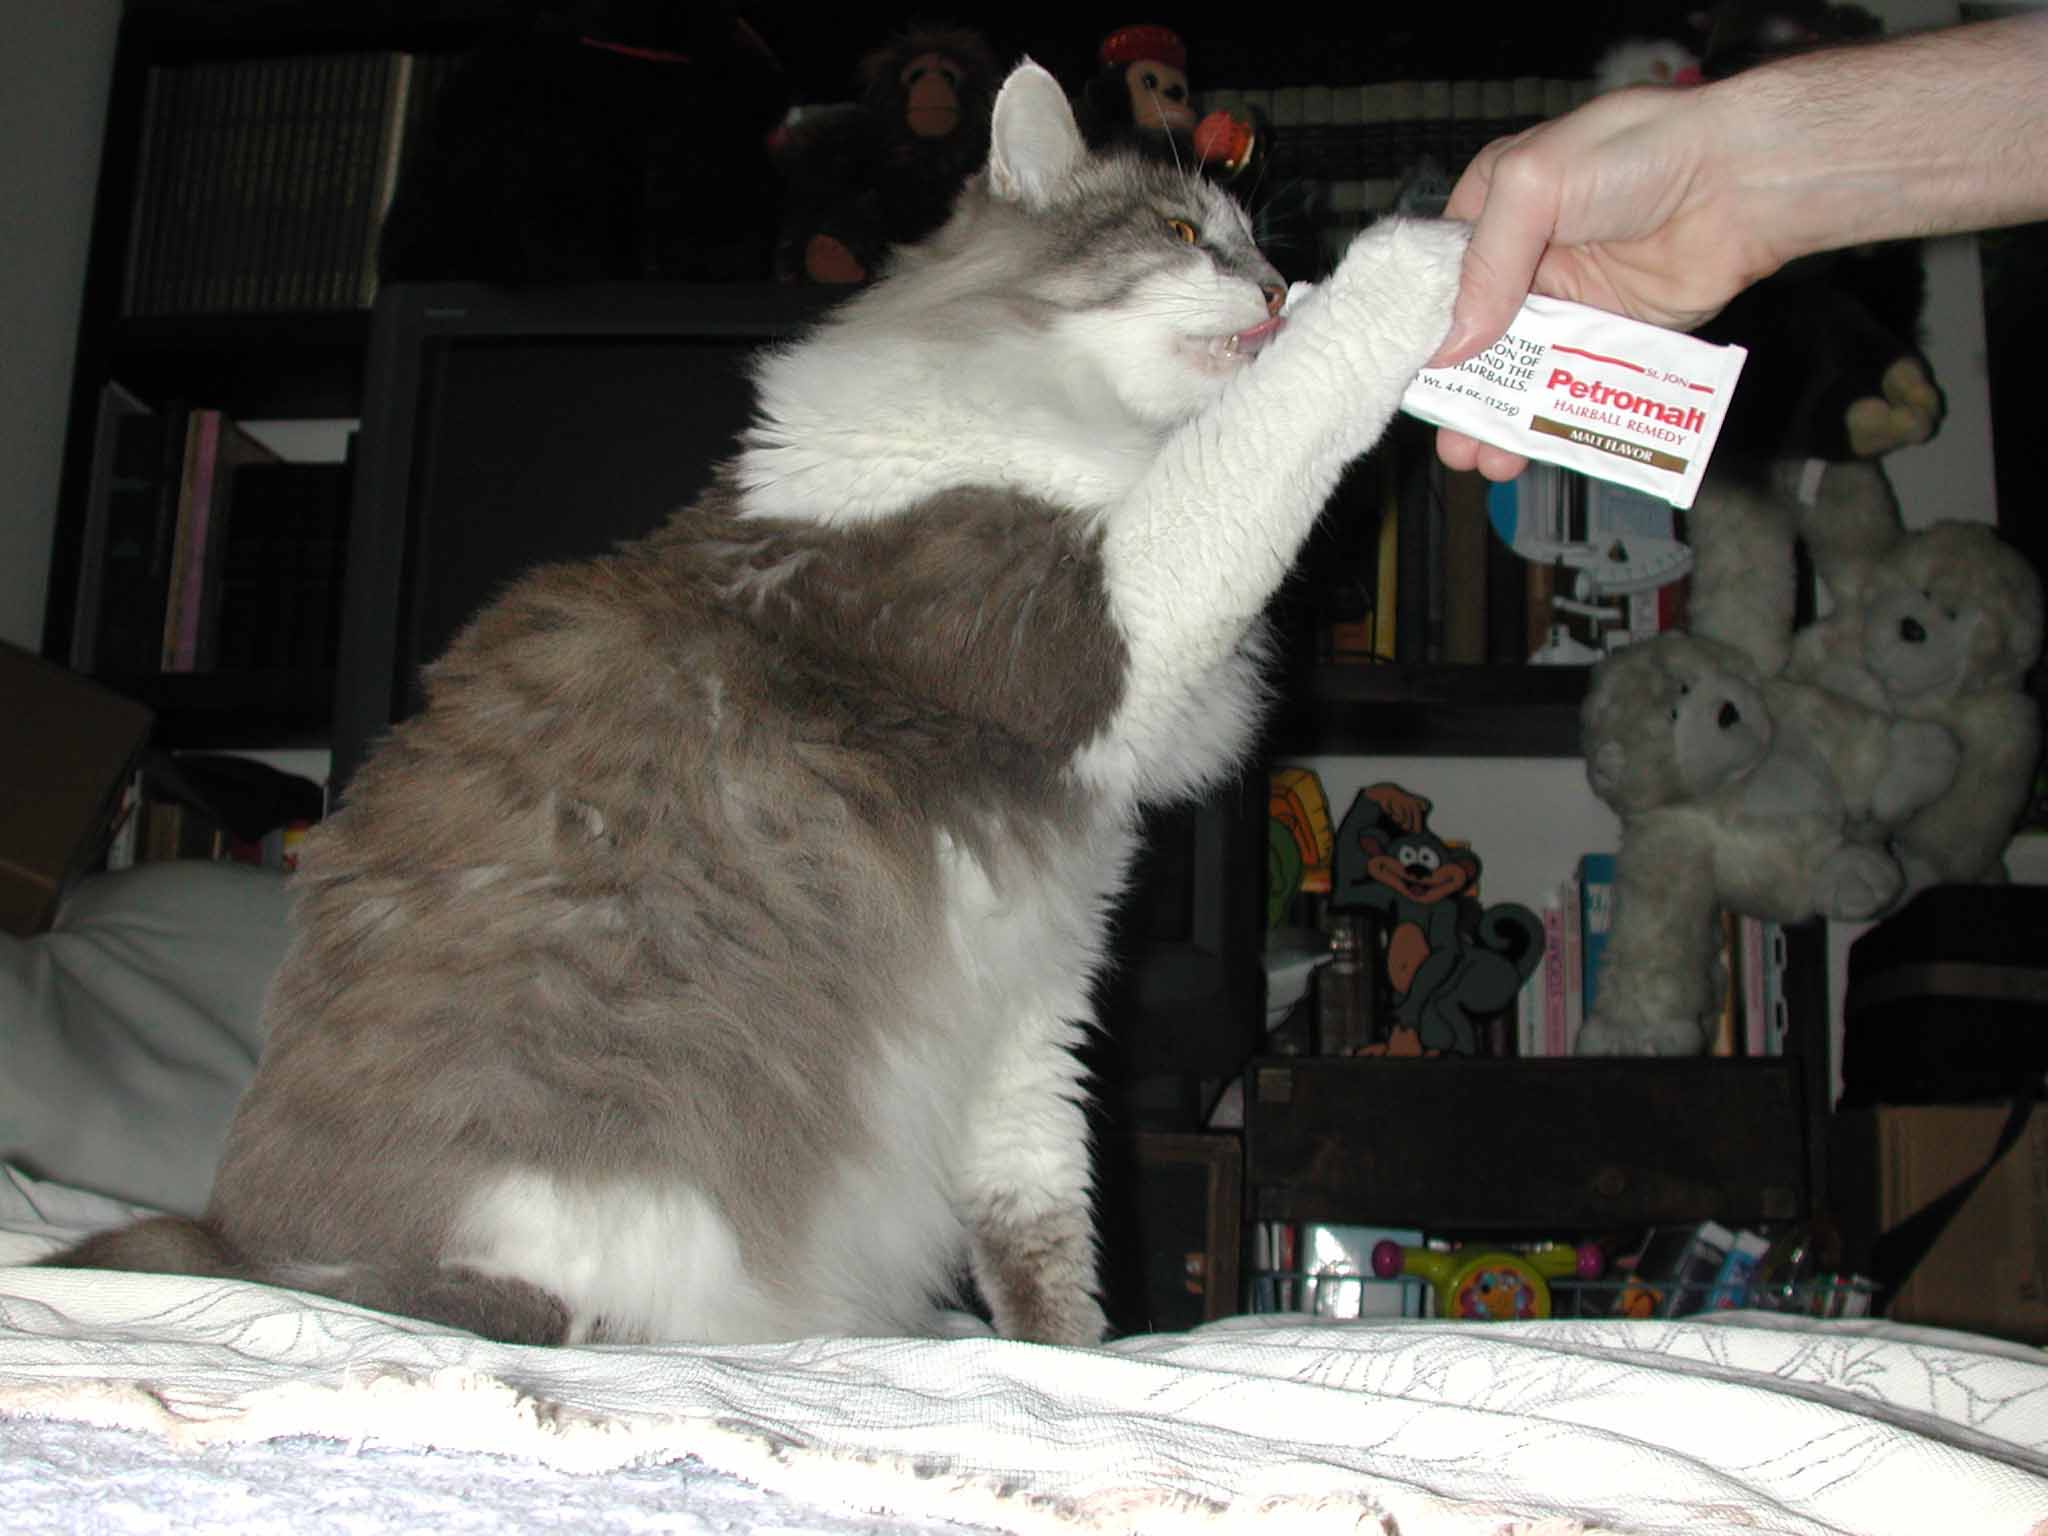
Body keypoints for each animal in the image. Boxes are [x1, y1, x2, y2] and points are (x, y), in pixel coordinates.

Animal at [50, 61, 1464, 1348]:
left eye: (1254, 248)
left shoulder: (1028, 995)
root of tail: (269, 1251)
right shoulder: (1107, 621)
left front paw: (1070, 1365)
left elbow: (1040, 1231)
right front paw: (1418, 260)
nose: (1275, 288)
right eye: (1179, 235)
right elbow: (1266, 437)